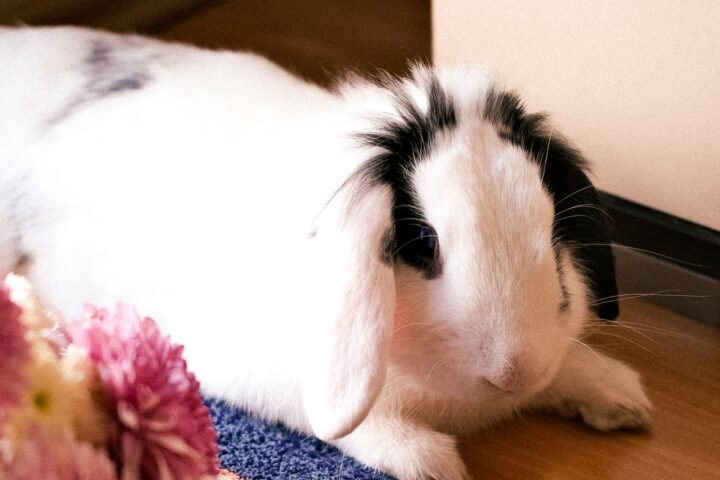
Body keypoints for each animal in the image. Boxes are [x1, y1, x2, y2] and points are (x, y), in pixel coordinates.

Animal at [0, 26, 652, 480]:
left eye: (552, 232)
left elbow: (569, 368)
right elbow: (351, 428)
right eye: (423, 243)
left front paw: (624, 401)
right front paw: (432, 463)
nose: (512, 372)